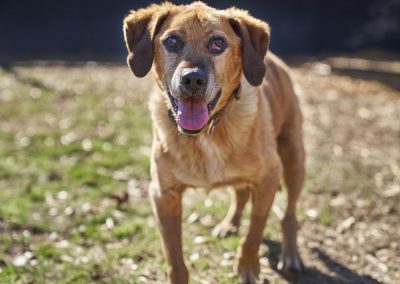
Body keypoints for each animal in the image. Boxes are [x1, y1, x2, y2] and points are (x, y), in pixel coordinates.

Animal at [123, 1, 304, 282]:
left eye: (218, 43)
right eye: (172, 41)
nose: (192, 79)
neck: (207, 131)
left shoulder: (268, 179)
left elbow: (254, 235)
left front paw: (247, 268)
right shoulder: (163, 194)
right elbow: (174, 257)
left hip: (294, 158)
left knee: (290, 214)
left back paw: (290, 253)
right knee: (241, 193)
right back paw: (230, 223)